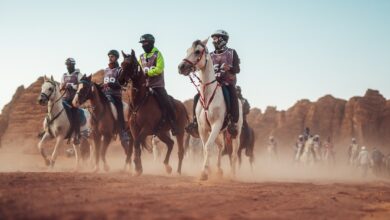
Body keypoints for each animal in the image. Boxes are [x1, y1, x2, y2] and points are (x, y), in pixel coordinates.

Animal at [178, 38, 242, 180]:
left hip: (235, 133)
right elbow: (205, 148)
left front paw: (204, 172)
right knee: (220, 147)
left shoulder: (216, 124)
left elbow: (208, 147)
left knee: (234, 153)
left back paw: (233, 174)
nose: (181, 67)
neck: (208, 95)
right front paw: (208, 170)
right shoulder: (202, 128)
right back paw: (218, 170)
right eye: (187, 50)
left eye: (197, 51)